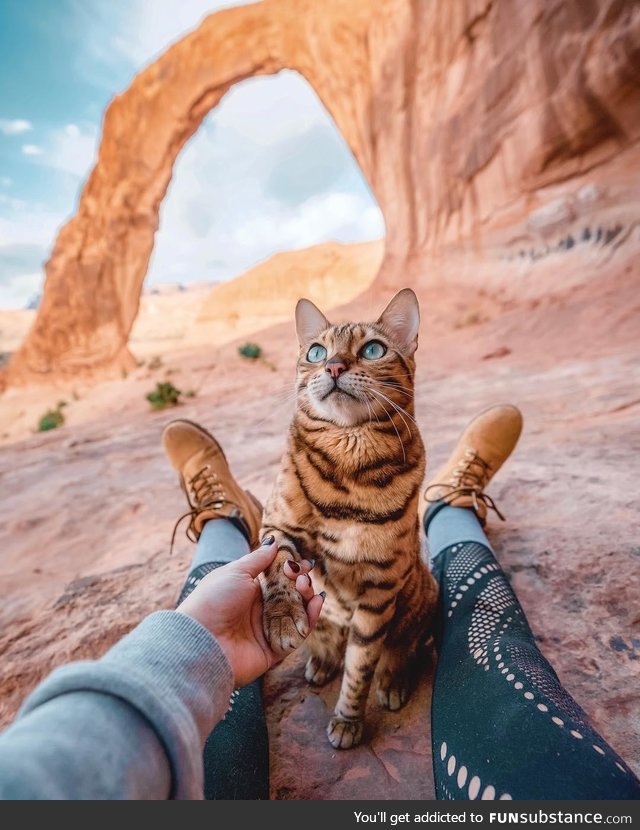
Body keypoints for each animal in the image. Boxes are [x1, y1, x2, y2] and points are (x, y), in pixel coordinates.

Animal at [260, 290, 440, 752]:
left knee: (401, 650)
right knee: (328, 640)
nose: (334, 366)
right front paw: (282, 617)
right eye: (316, 352)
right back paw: (322, 661)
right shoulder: (278, 526)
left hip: (418, 601)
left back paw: (393, 682)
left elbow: (360, 665)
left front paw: (348, 720)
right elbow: (276, 565)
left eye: (373, 350)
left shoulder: (379, 589)